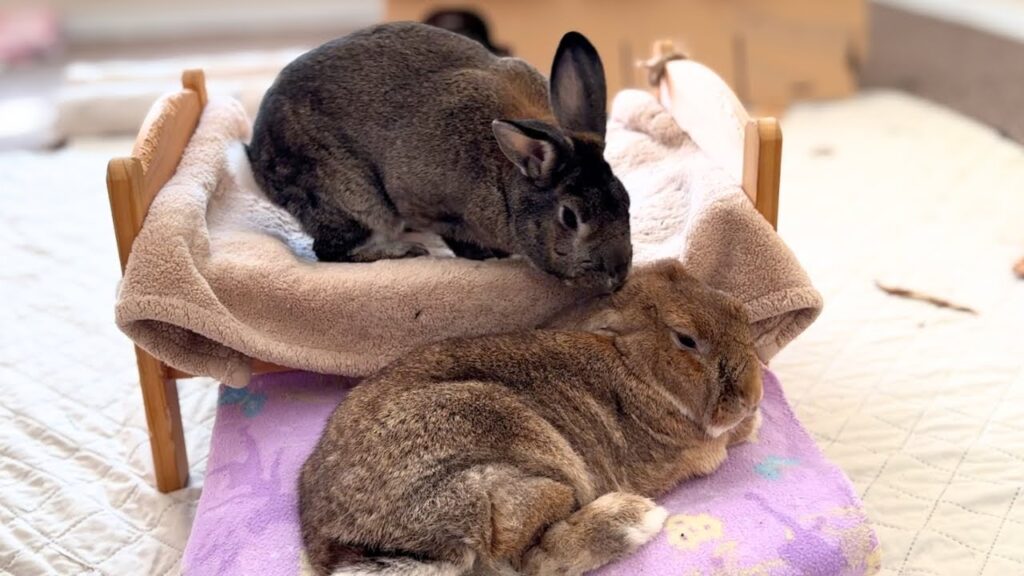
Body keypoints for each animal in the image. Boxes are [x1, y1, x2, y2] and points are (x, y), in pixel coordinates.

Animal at [247, 22, 632, 293]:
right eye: (569, 217)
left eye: (626, 201)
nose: (617, 274)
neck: (507, 184)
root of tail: (256, 155)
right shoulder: (425, 203)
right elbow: (455, 236)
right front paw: (486, 255)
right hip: (352, 200)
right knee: (330, 250)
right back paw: (404, 251)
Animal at [298, 260, 763, 576]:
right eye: (686, 339)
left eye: (738, 310)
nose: (752, 395)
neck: (633, 363)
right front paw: (750, 425)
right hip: (518, 468)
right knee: (530, 557)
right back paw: (634, 516)